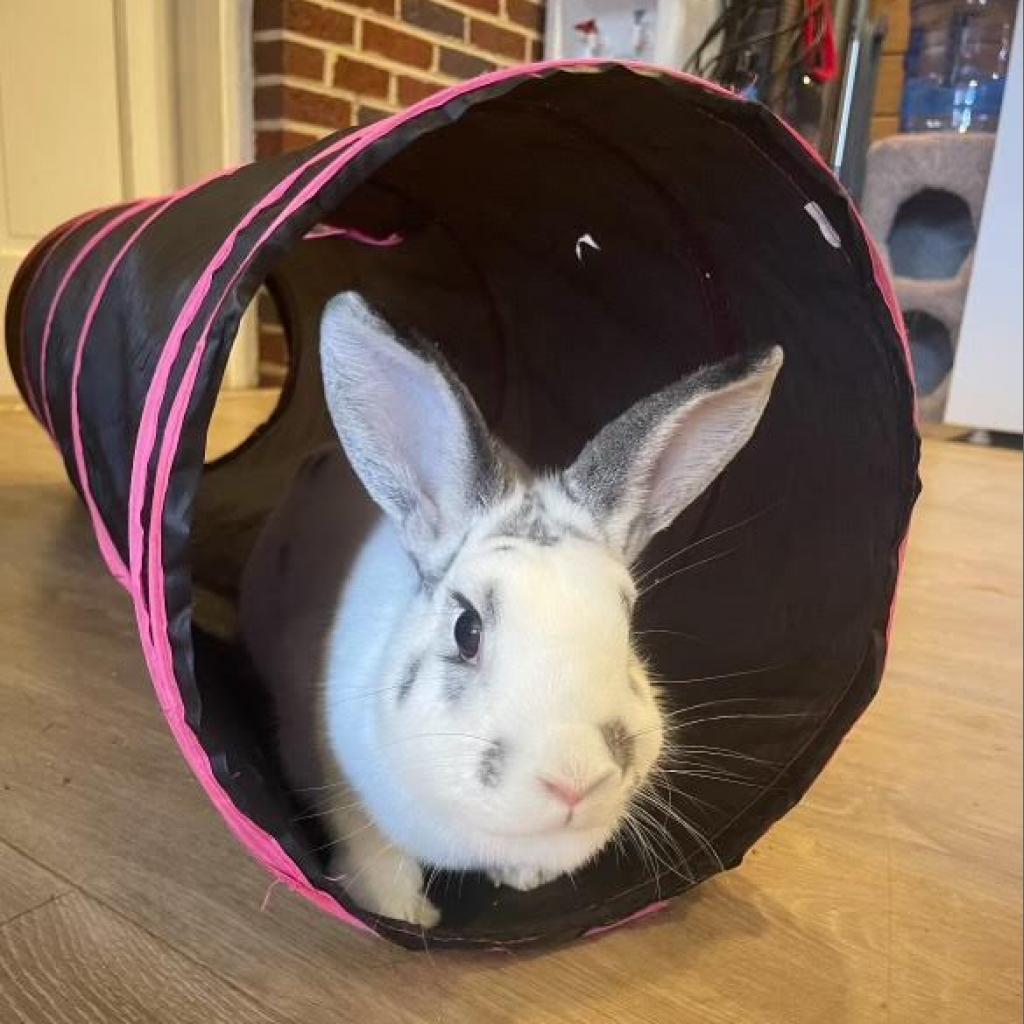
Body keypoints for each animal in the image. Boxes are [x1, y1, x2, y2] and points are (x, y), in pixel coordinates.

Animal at [239, 292, 783, 928]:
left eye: (626, 627)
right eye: (466, 629)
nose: (576, 779)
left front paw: (524, 879)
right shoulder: (346, 790)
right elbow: (376, 855)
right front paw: (404, 914)